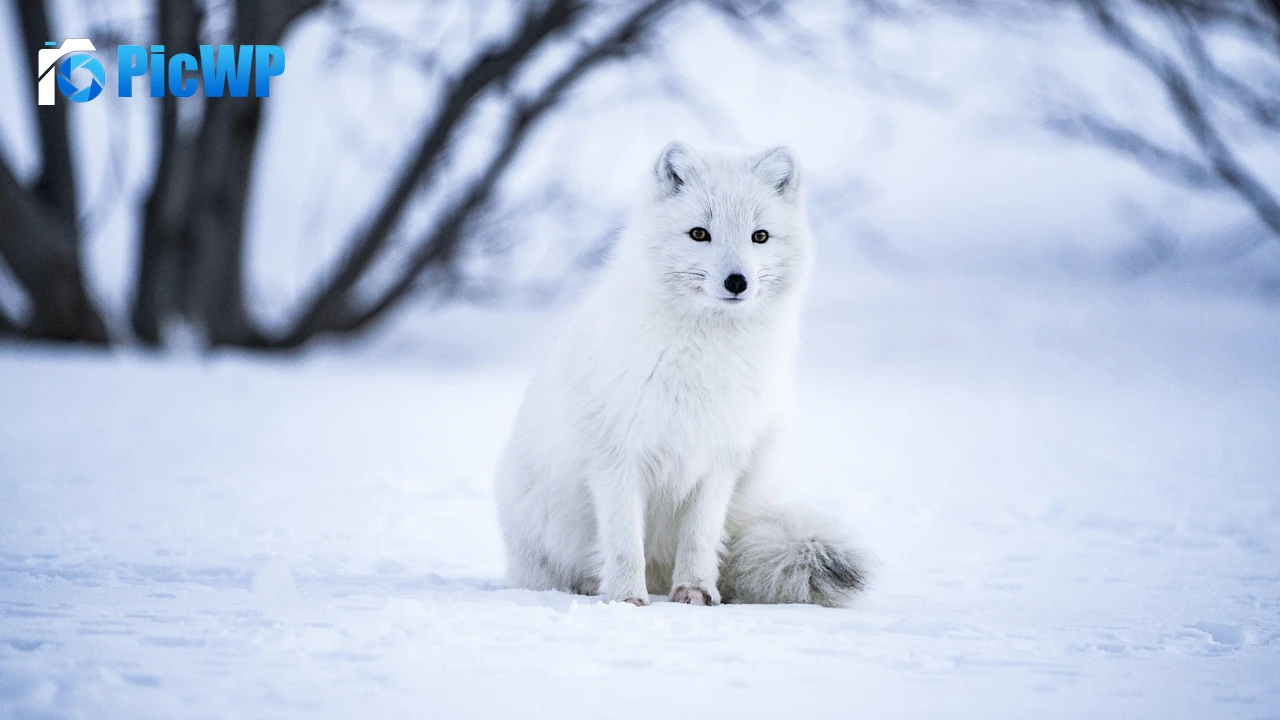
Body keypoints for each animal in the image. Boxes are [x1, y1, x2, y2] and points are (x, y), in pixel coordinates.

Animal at [494, 142, 867, 606]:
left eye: (759, 236)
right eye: (699, 234)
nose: (737, 281)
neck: (702, 355)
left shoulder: (719, 458)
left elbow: (700, 537)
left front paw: (695, 591)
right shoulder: (616, 455)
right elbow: (623, 541)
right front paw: (625, 598)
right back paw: (591, 586)